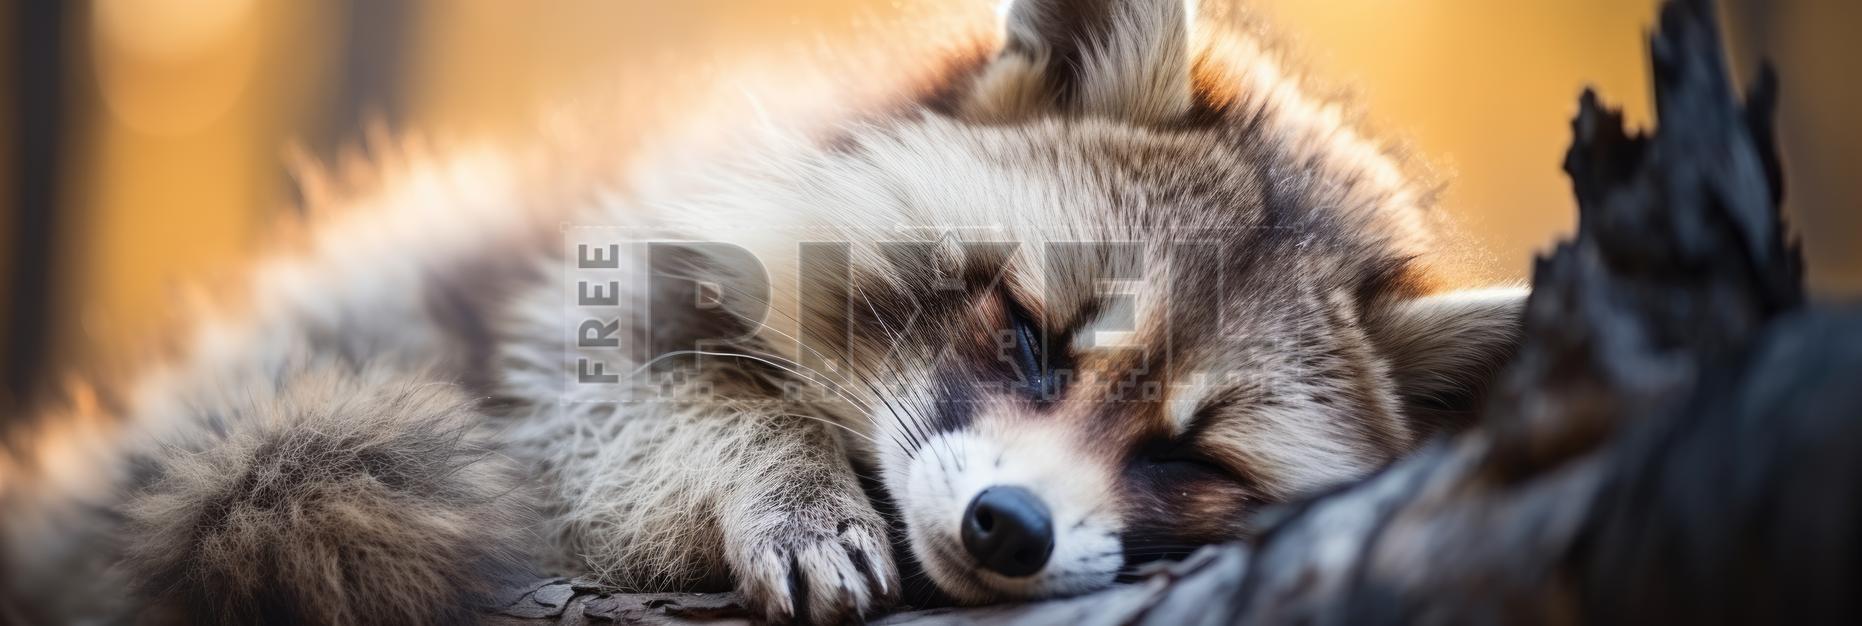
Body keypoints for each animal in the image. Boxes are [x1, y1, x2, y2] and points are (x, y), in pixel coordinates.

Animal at [0, 0, 1523, 623]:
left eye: (1188, 454)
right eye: (1029, 331)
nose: (1006, 528)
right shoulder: (565, 299)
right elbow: (610, 412)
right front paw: (766, 470)